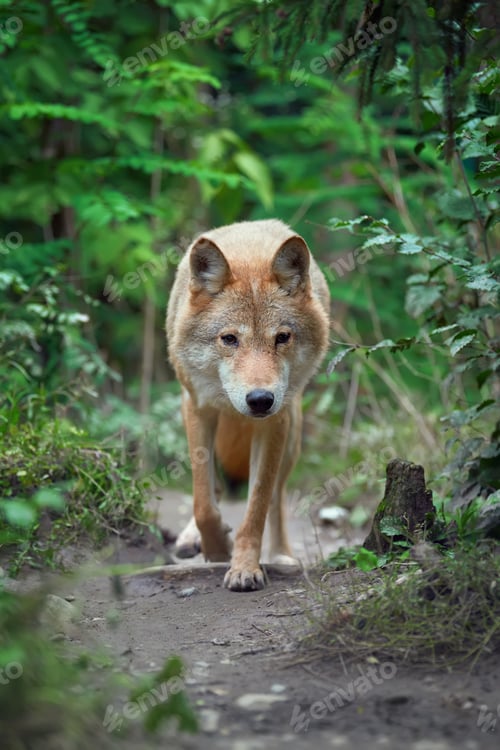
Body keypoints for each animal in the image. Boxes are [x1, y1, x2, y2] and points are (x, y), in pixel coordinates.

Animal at [166, 219, 330, 591]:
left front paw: (244, 567)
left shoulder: (274, 423)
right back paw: (189, 539)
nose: (259, 400)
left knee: (277, 497)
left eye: (282, 338)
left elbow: (257, 507)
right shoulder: (198, 407)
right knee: (212, 485)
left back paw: (281, 555)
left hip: (293, 431)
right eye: (229, 339)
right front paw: (216, 548)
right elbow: (203, 502)